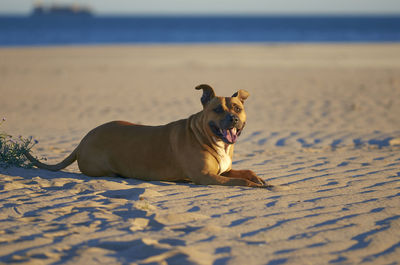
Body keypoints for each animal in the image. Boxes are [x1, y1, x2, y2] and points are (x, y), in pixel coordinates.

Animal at [23, 85, 270, 188]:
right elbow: (240, 180)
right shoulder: (206, 177)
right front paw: (255, 184)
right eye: (217, 109)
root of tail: (82, 140)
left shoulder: (222, 171)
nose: (233, 119)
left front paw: (258, 178)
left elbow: (246, 172)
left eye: (237, 108)